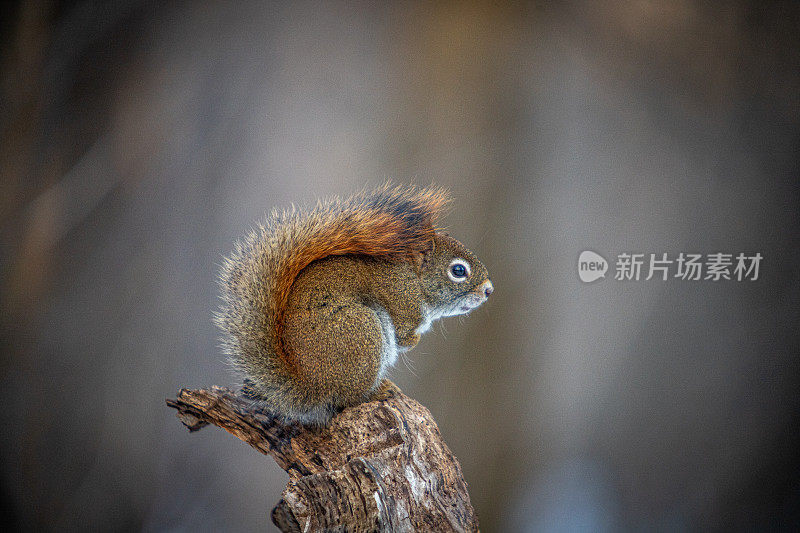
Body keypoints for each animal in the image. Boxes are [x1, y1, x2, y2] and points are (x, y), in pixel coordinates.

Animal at [217, 183, 494, 424]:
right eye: (458, 270)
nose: (489, 290)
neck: (414, 280)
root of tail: (310, 387)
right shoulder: (403, 306)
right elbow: (404, 336)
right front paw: (413, 341)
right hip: (362, 329)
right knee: (349, 398)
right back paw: (380, 391)